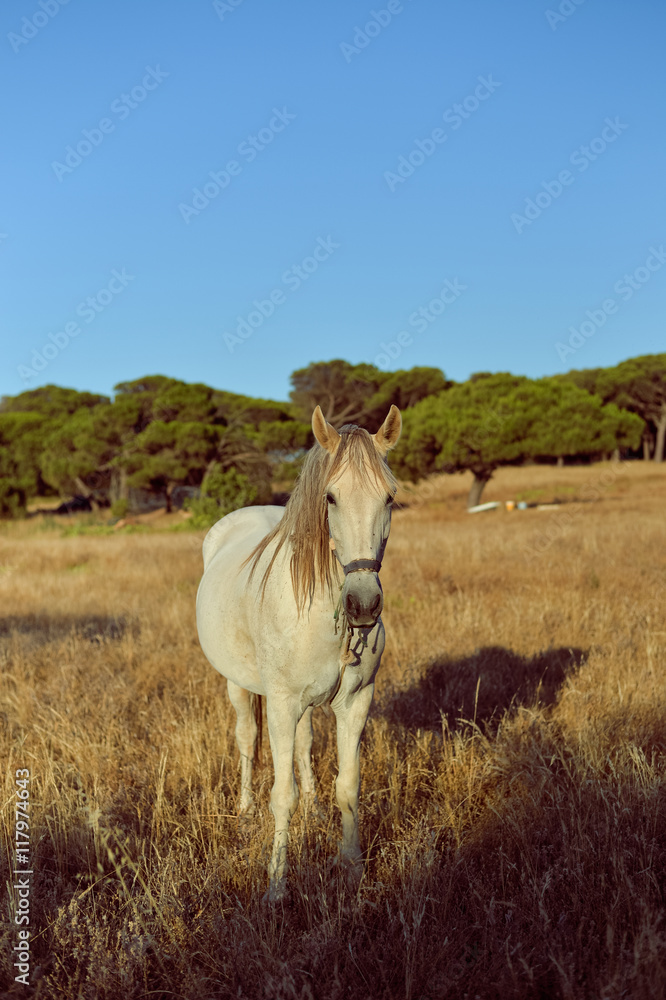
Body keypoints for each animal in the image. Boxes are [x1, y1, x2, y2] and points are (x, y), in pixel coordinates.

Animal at [196, 403, 401, 900]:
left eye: (389, 498)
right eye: (330, 498)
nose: (363, 604)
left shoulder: (355, 702)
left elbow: (348, 785)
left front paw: (352, 867)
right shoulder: (282, 704)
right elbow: (280, 794)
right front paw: (276, 886)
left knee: (305, 744)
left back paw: (314, 807)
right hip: (239, 687)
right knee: (246, 740)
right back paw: (244, 810)